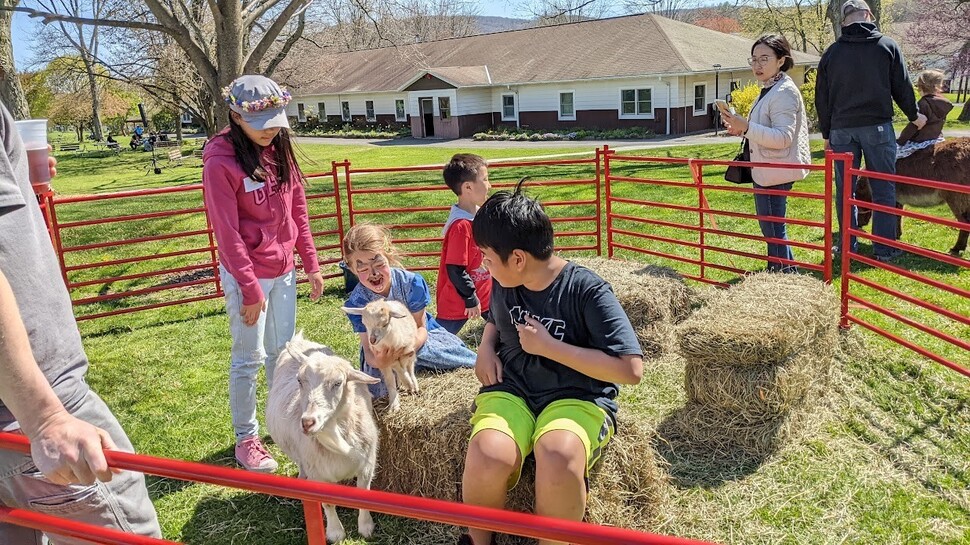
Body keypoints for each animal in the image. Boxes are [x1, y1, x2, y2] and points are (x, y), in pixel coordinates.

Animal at [268, 332, 386, 540]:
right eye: (299, 381)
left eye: (338, 383)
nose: (308, 422)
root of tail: (300, 341)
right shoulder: (317, 474)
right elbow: (328, 504)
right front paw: (335, 532)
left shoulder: (367, 465)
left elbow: (363, 494)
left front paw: (366, 527)